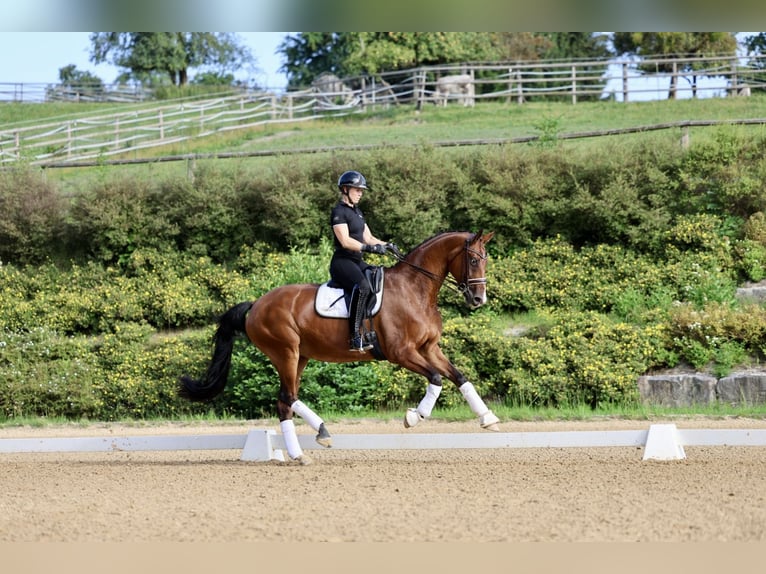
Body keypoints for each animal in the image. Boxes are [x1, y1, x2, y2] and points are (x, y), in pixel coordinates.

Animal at [182, 232, 500, 466]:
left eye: (485, 260)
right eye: (473, 259)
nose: (478, 299)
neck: (415, 290)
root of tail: (256, 304)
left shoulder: (429, 348)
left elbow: (459, 378)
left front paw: (489, 419)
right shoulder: (401, 352)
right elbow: (435, 379)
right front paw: (414, 416)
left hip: (300, 356)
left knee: (285, 401)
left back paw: (302, 452)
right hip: (286, 352)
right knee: (288, 397)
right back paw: (318, 435)